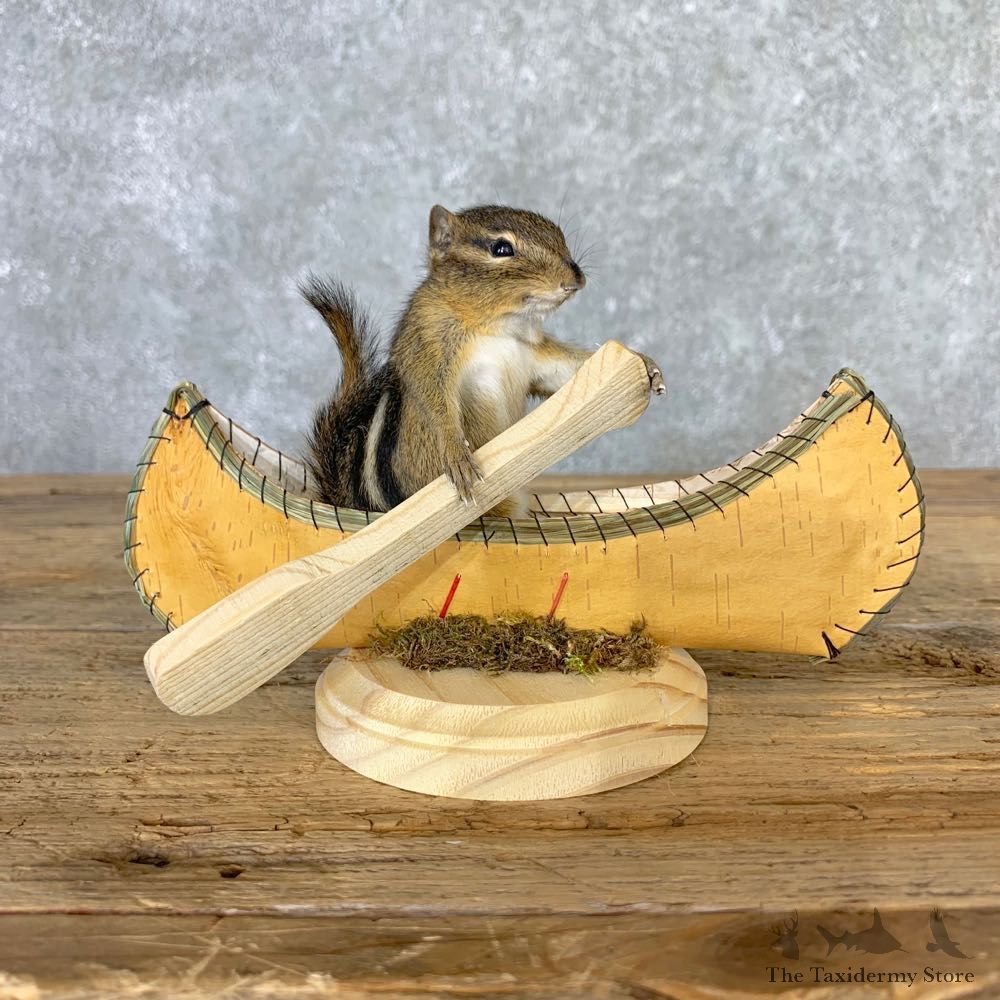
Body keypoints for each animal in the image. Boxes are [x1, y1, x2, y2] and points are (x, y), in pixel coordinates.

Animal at [303, 204, 665, 518]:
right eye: (501, 248)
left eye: (559, 234)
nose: (575, 281)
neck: (494, 327)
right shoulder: (427, 345)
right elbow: (434, 402)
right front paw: (457, 455)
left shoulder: (533, 357)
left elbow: (566, 373)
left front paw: (644, 363)